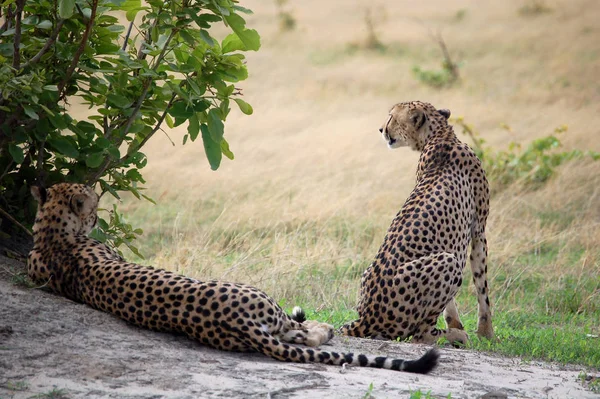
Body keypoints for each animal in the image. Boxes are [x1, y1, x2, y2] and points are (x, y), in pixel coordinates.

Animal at [28, 184, 438, 376]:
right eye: (93, 205)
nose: (98, 213)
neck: (51, 234)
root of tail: (236, 320)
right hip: (263, 299)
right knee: (300, 333)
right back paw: (323, 327)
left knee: (294, 336)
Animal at [340, 101, 494, 346]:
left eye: (391, 117)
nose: (381, 129)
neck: (440, 136)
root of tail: (365, 320)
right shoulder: (478, 231)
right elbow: (482, 287)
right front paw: (486, 333)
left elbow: (454, 302)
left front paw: (458, 323)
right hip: (447, 261)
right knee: (420, 335)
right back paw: (456, 336)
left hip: (367, 273)